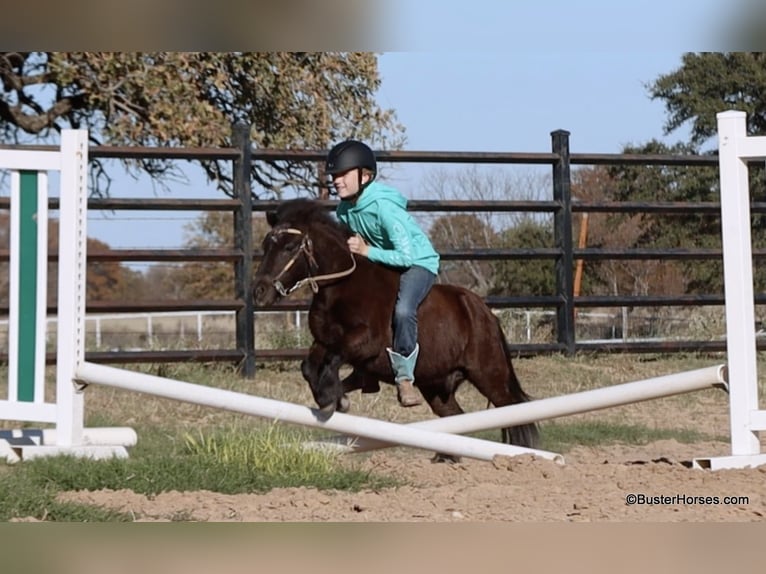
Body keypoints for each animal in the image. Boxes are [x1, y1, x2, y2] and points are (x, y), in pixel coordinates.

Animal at [254, 200, 540, 452]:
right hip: (437, 386)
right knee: (455, 416)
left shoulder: (365, 342)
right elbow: (310, 366)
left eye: (290, 247)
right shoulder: (323, 340)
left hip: (489, 375)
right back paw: (447, 457)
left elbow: (333, 359)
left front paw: (332, 398)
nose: (260, 291)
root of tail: (485, 313)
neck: (340, 287)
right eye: (266, 245)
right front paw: (332, 398)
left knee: (514, 410)